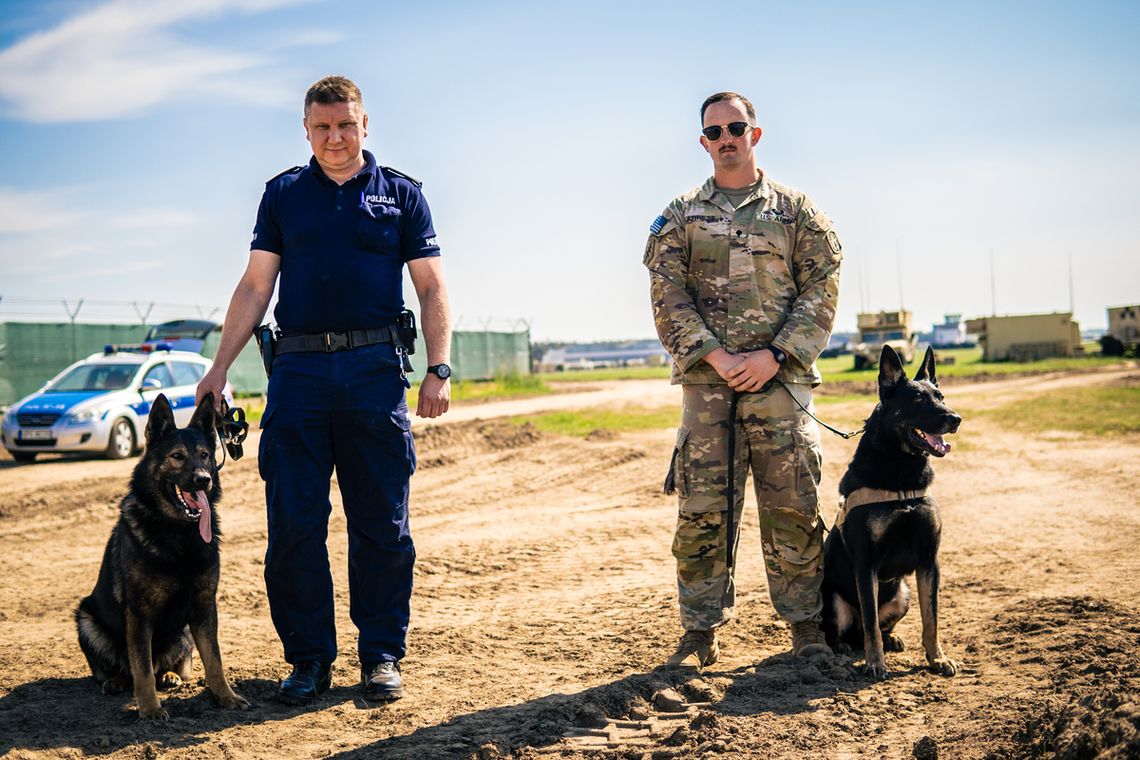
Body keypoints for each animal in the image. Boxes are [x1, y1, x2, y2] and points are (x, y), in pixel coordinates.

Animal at [74, 396, 248, 724]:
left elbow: (214, 659)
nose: (204, 480)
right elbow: (141, 667)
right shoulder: (139, 613)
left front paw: (225, 696)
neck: (178, 532)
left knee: (163, 666)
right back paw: (115, 681)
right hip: (86, 619)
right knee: (124, 669)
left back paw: (169, 675)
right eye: (177, 456)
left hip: (184, 633)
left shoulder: (204, 606)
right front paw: (150, 709)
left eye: (205, 456)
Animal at [820, 344, 962, 679]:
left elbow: (931, 619)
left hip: (903, 594)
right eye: (918, 400)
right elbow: (871, 621)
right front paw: (875, 663)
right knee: (849, 631)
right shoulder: (866, 565)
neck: (902, 472)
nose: (956, 419)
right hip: (832, 601)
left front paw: (937, 658)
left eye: (941, 396)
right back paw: (843, 647)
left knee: (876, 627)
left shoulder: (929, 562)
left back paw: (892, 639)